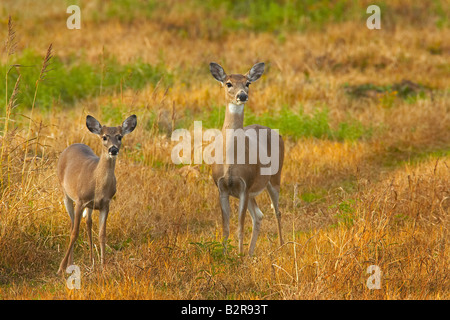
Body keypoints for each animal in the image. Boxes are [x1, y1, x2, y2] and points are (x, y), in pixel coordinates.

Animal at [55, 114, 135, 274]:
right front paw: (61, 268)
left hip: (90, 205)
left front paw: (103, 265)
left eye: (120, 137)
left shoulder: (105, 204)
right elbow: (74, 233)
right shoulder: (80, 200)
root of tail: (72, 146)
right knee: (72, 225)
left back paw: (91, 259)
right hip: (66, 193)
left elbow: (102, 234)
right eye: (104, 137)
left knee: (88, 222)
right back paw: (70, 263)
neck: (98, 184)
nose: (113, 149)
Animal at [208, 62, 284, 256]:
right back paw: (250, 253)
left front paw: (238, 256)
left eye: (248, 83)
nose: (242, 95)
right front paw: (225, 256)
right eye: (228, 83)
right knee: (258, 215)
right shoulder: (222, 188)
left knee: (277, 211)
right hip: (252, 192)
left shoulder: (244, 185)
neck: (231, 162)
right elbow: (226, 228)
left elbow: (240, 227)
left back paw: (282, 246)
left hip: (275, 177)